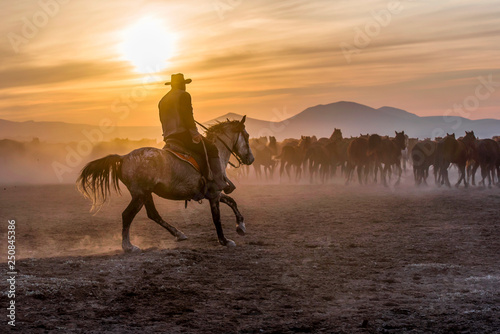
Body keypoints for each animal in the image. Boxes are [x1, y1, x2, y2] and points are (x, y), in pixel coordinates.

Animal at [77, 116, 254, 252]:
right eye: (246, 136)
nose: (251, 159)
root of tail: (124, 157)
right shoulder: (215, 194)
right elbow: (217, 218)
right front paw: (225, 240)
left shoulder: (213, 193)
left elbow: (232, 201)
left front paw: (241, 226)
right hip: (140, 195)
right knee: (127, 215)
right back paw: (128, 246)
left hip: (146, 194)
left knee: (153, 214)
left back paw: (178, 234)